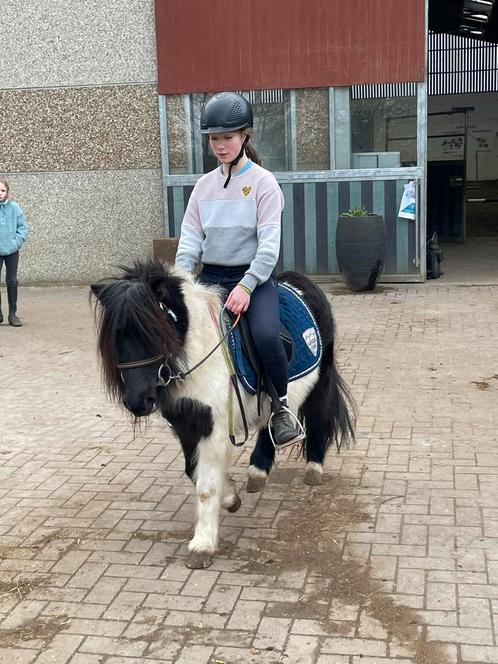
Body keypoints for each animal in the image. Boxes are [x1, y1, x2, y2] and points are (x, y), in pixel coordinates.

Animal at [89, 262, 354, 568]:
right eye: (114, 338)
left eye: (154, 329)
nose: (138, 402)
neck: (199, 351)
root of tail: (305, 283)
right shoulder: (186, 425)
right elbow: (193, 472)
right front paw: (230, 498)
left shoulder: (212, 428)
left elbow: (205, 485)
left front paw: (202, 545)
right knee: (268, 425)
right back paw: (257, 473)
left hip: (320, 383)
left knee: (317, 418)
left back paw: (313, 469)